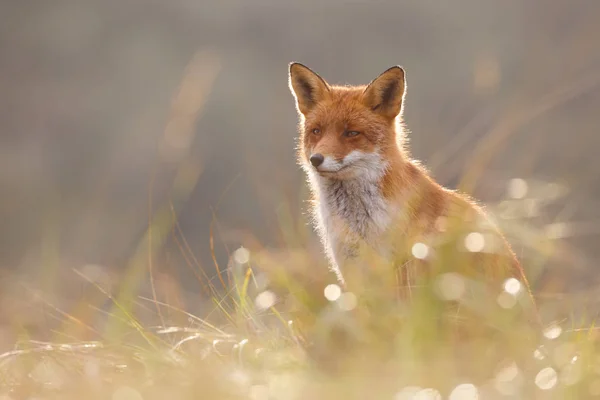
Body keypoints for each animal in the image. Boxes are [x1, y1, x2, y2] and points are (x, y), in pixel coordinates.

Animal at [286, 62, 540, 330]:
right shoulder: (354, 272)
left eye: (351, 133)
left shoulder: (403, 275)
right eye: (316, 131)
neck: (360, 223)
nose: (316, 160)